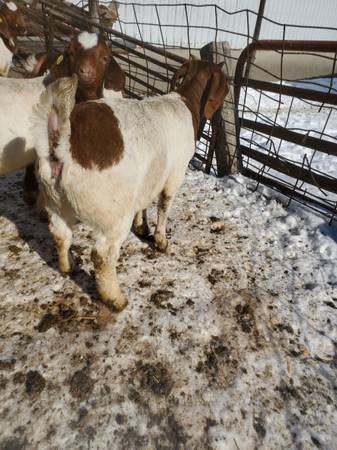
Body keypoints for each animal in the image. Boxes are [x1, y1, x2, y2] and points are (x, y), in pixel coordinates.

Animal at [32, 59, 228, 312]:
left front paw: (142, 227)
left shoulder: (147, 177)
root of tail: (63, 142)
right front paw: (161, 241)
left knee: (60, 234)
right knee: (102, 254)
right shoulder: (175, 172)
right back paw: (116, 299)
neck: (185, 101)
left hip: (54, 199)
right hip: (112, 212)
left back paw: (69, 266)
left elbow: (143, 201)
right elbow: (165, 204)